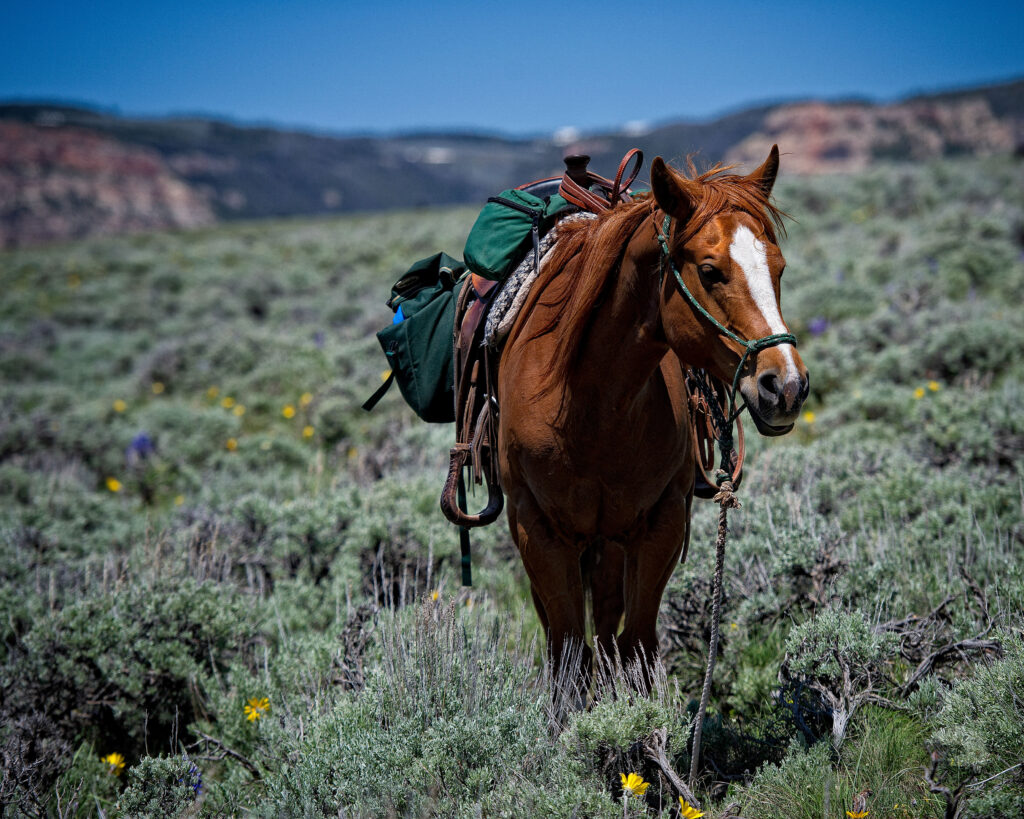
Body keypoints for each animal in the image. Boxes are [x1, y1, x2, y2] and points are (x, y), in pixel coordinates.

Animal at [496, 145, 809, 693]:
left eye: (780, 268)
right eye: (710, 270)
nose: (786, 386)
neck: (590, 404)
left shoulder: (661, 521)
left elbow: (637, 646)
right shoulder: (538, 529)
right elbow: (567, 654)